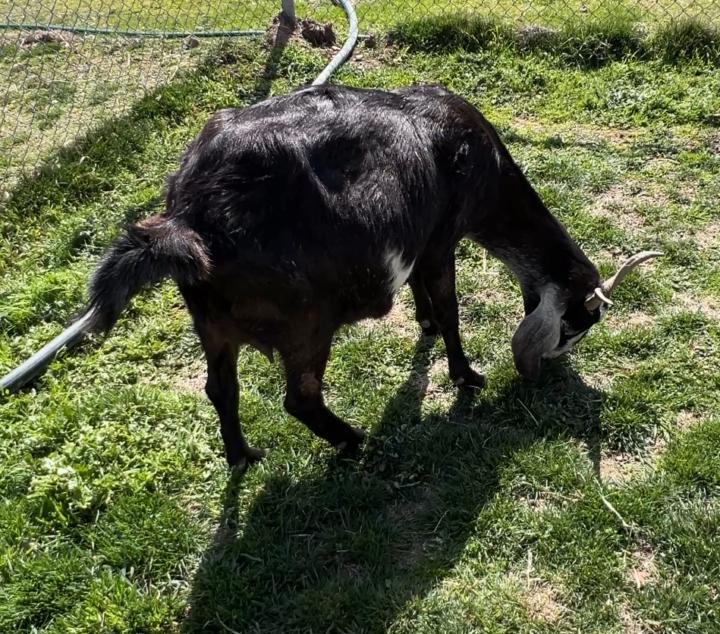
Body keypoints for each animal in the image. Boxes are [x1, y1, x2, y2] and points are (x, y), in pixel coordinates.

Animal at [87, 84, 658, 468]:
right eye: (575, 326)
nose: (554, 370)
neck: (485, 167)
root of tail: (189, 217)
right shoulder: (440, 239)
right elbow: (449, 307)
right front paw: (466, 376)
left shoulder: (418, 240)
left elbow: (422, 296)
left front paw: (424, 327)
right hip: (305, 320)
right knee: (299, 397)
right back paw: (354, 440)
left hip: (212, 323)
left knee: (219, 389)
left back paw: (244, 456)